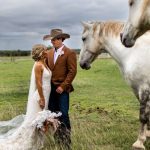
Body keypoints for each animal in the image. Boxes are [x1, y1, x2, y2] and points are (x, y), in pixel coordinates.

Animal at [79, 21, 150, 150]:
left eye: (84, 38)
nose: (82, 63)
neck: (133, 53)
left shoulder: (144, 88)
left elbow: (143, 116)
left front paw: (139, 142)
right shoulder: (137, 89)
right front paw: (147, 134)